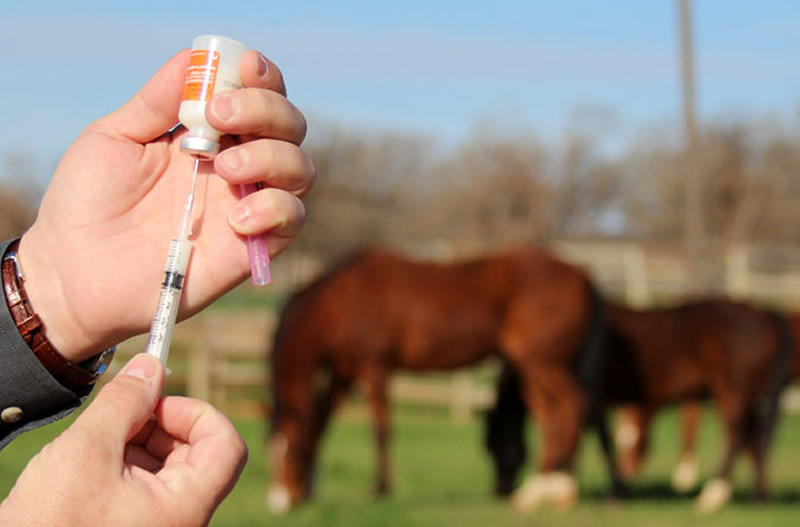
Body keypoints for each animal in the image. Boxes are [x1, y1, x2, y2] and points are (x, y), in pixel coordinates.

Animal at [266, 249, 620, 516]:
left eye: (292, 452)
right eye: (270, 450)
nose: (280, 502)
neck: (339, 301)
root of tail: (584, 276)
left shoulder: (374, 367)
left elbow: (381, 429)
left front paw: (381, 488)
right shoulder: (344, 372)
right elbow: (321, 425)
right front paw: (310, 490)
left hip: (545, 363)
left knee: (573, 408)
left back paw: (554, 490)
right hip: (533, 367)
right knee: (553, 418)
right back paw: (542, 490)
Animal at [482, 300, 792, 512]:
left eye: (491, 445)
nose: (499, 491)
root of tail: (767, 314)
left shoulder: (593, 396)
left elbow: (595, 438)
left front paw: (598, 491)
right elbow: (598, 437)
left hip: (732, 392)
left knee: (738, 435)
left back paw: (713, 495)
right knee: (755, 438)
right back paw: (756, 497)